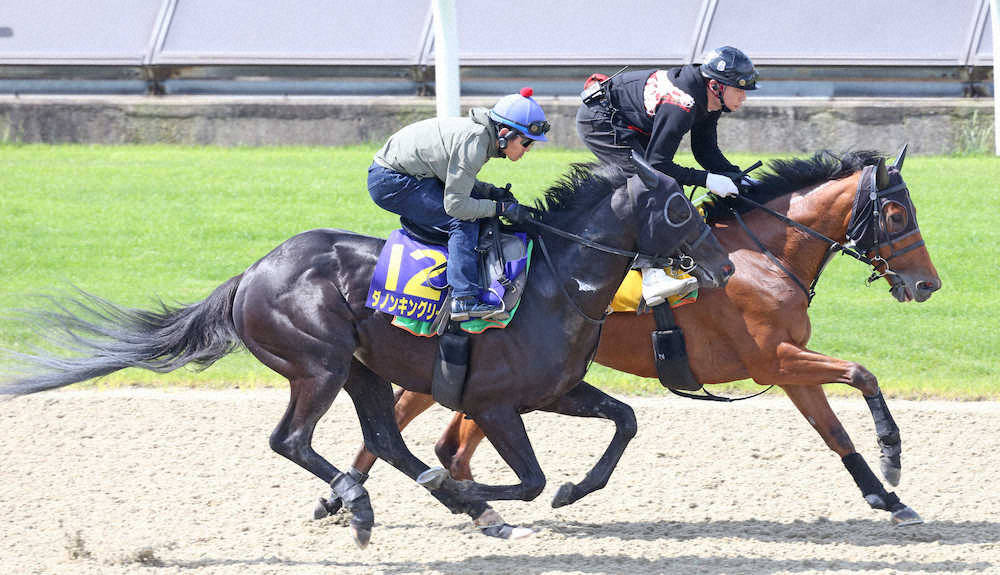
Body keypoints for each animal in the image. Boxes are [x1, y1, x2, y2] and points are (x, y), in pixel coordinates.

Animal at [0, 160, 736, 548]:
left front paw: (568, 489)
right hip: (320, 364)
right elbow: (523, 476)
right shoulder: (495, 403)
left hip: (363, 369)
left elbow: (624, 423)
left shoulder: (555, 392)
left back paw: (421, 500)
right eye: (679, 209)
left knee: (383, 438)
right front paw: (480, 491)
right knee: (293, 439)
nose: (725, 266)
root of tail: (251, 273)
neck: (556, 282)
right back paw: (365, 501)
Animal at [342, 147, 936, 532]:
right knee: (407, 426)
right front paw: (892, 456)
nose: (928, 284)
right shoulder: (775, 360)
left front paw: (886, 497)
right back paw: (350, 497)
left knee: (446, 443)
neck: (764, 256)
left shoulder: (787, 367)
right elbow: (861, 373)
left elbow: (834, 432)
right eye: (896, 212)